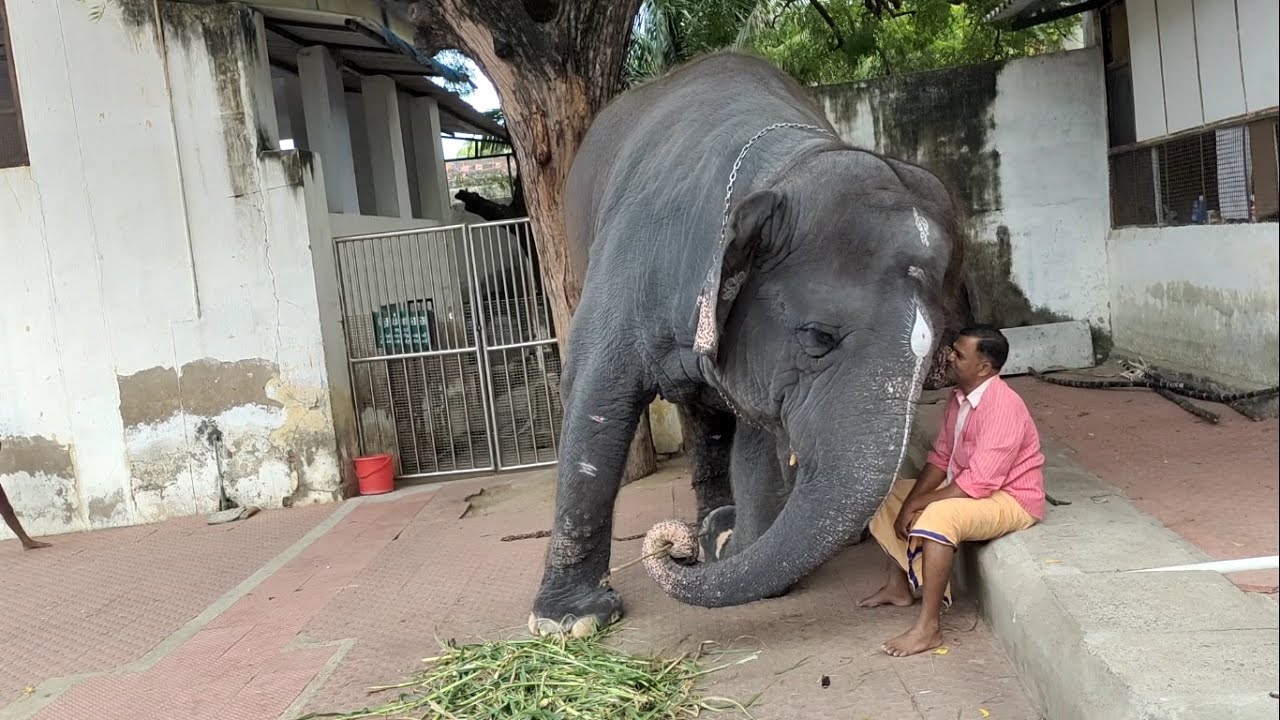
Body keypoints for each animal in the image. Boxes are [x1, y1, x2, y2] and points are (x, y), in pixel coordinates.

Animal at [528, 51, 968, 637]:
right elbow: (595, 400)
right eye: (818, 337)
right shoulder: (629, 263)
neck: (784, 165)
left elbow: (757, 434)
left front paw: (733, 545)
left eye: (937, 348)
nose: (675, 547)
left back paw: (714, 524)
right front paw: (570, 622)